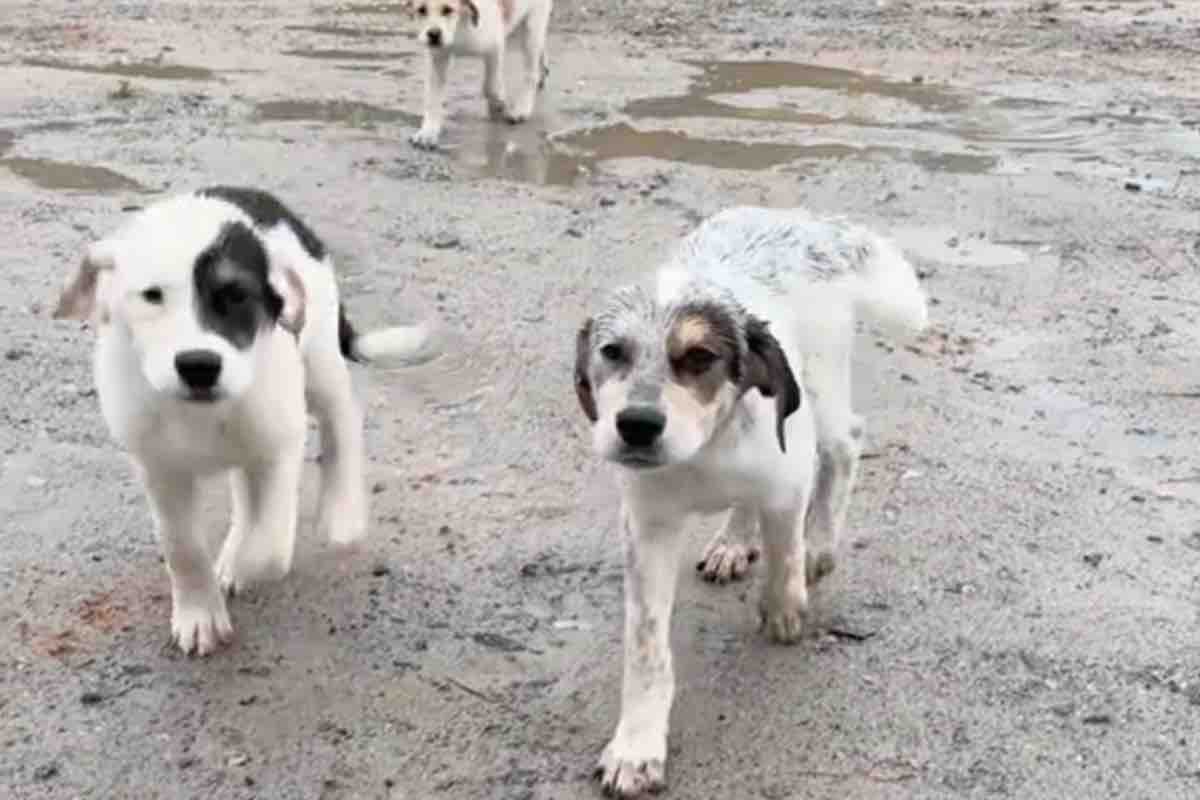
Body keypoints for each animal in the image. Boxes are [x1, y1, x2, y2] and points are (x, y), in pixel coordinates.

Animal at [56, 188, 432, 657]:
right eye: (152, 295)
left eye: (237, 295)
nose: (198, 365)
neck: (202, 412)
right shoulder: (158, 466)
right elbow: (182, 544)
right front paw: (200, 613)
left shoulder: (279, 443)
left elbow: (269, 545)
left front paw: (240, 564)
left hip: (318, 356)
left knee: (342, 416)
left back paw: (341, 512)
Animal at [403, 0, 552, 148]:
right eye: (421, 10)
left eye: (447, 10)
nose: (434, 34)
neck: (460, 25)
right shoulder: (437, 58)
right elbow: (432, 99)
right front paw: (428, 133)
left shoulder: (495, 47)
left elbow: (490, 86)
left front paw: (498, 103)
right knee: (541, 50)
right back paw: (543, 71)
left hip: (532, 28)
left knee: (531, 72)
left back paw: (522, 109)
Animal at [571, 205, 926, 796]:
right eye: (612, 352)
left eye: (700, 356)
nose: (636, 426)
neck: (706, 450)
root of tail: (803, 219)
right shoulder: (647, 528)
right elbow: (647, 650)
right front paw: (636, 746)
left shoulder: (787, 481)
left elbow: (784, 554)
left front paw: (785, 607)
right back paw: (733, 542)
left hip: (822, 395)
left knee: (844, 445)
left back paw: (820, 544)